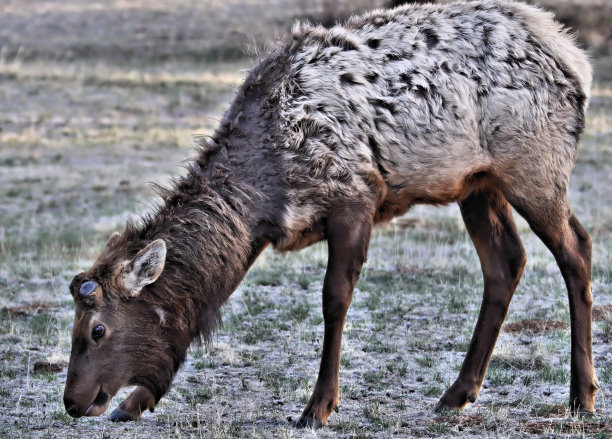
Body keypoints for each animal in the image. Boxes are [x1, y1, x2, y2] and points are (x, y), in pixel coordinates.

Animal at [64, 0, 596, 428]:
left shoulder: (355, 197)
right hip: (478, 183)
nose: (71, 401)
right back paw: (457, 393)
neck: (265, 195)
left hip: (534, 166)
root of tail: (575, 60)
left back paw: (582, 396)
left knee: (577, 249)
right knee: (506, 262)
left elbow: (334, 299)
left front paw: (317, 407)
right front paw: (133, 403)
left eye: (97, 330)